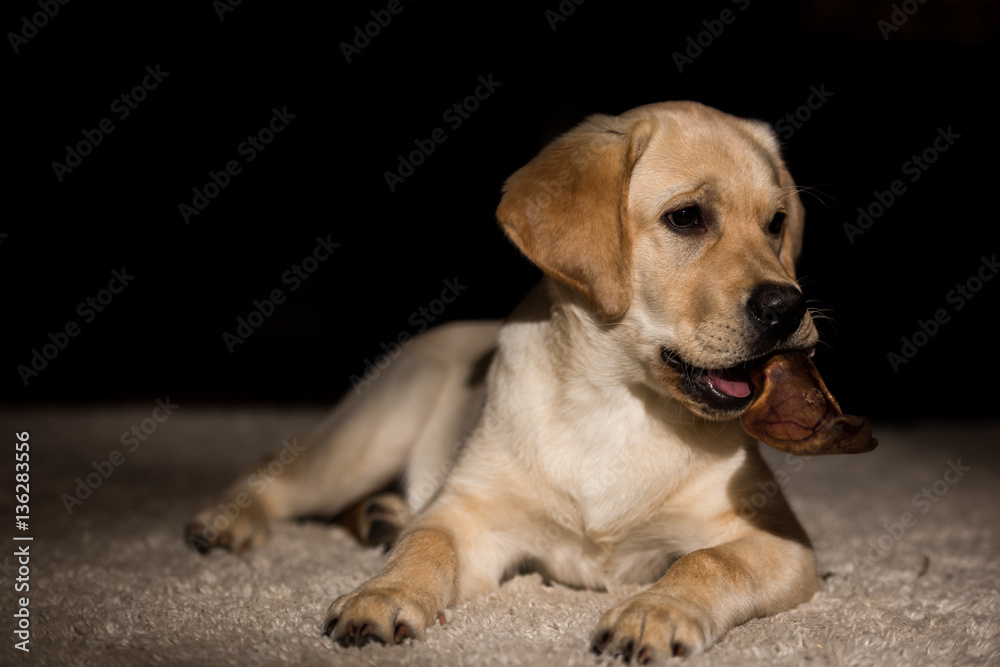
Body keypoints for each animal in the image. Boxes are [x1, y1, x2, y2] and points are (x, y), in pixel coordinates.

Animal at [191, 102, 824, 660]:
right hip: (369, 439)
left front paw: (655, 612)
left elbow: (710, 560)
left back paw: (381, 516)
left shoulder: (779, 540)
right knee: (281, 470)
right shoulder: (470, 519)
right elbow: (425, 546)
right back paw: (227, 522)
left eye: (776, 224)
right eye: (687, 217)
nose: (788, 308)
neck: (618, 402)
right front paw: (383, 594)